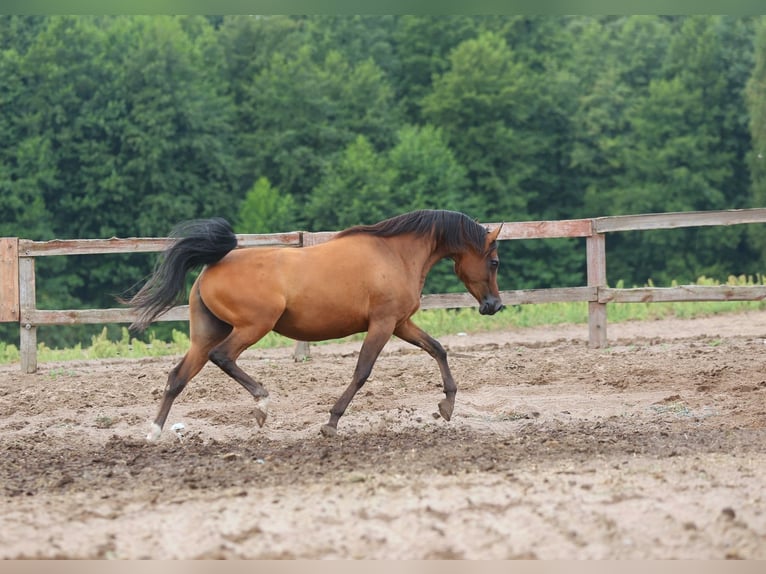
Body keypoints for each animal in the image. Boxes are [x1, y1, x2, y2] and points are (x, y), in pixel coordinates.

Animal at [126, 212, 504, 440]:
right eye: (495, 262)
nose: (495, 306)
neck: (394, 254)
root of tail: (213, 265)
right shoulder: (382, 324)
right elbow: (362, 372)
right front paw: (331, 422)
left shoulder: (401, 323)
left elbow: (438, 348)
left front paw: (447, 406)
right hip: (252, 327)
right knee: (223, 357)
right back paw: (261, 404)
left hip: (207, 334)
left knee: (178, 376)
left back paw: (154, 431)